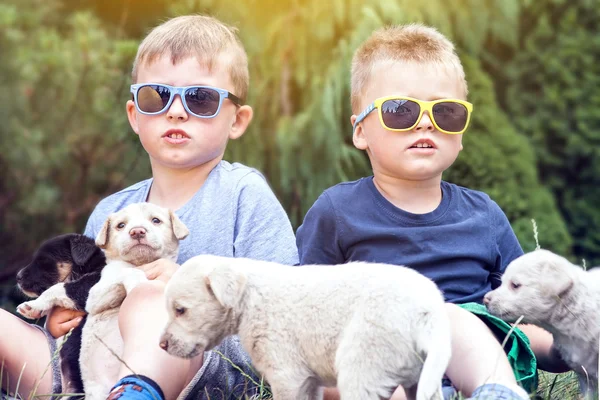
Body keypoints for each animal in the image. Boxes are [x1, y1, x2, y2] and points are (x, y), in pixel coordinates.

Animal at [15, 233, 106, 396]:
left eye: (44, 260)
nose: (17, 277)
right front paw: (34, 309)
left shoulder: (94, 285)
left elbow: (58, 287)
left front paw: (34, 305)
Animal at [159, 256, 450, 400]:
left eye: (180, 310)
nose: (161, 345)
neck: (250, 296)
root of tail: (428, 310)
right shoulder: (308, 380)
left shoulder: (286, 375)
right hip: (422, 377)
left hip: (362, 365)